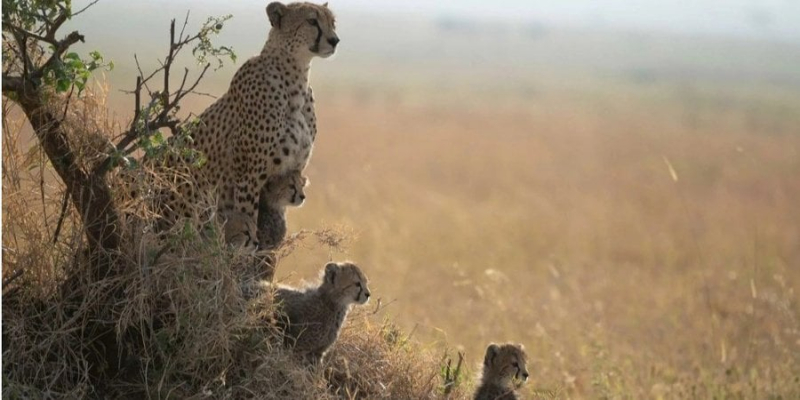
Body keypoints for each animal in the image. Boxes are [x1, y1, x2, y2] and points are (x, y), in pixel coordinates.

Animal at [162, 0, 338, 236]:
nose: (335, 40)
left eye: (332, 21)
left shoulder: (294, 168)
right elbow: (248, 216)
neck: (295, 79)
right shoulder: (249, 176)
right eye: (312, 21)